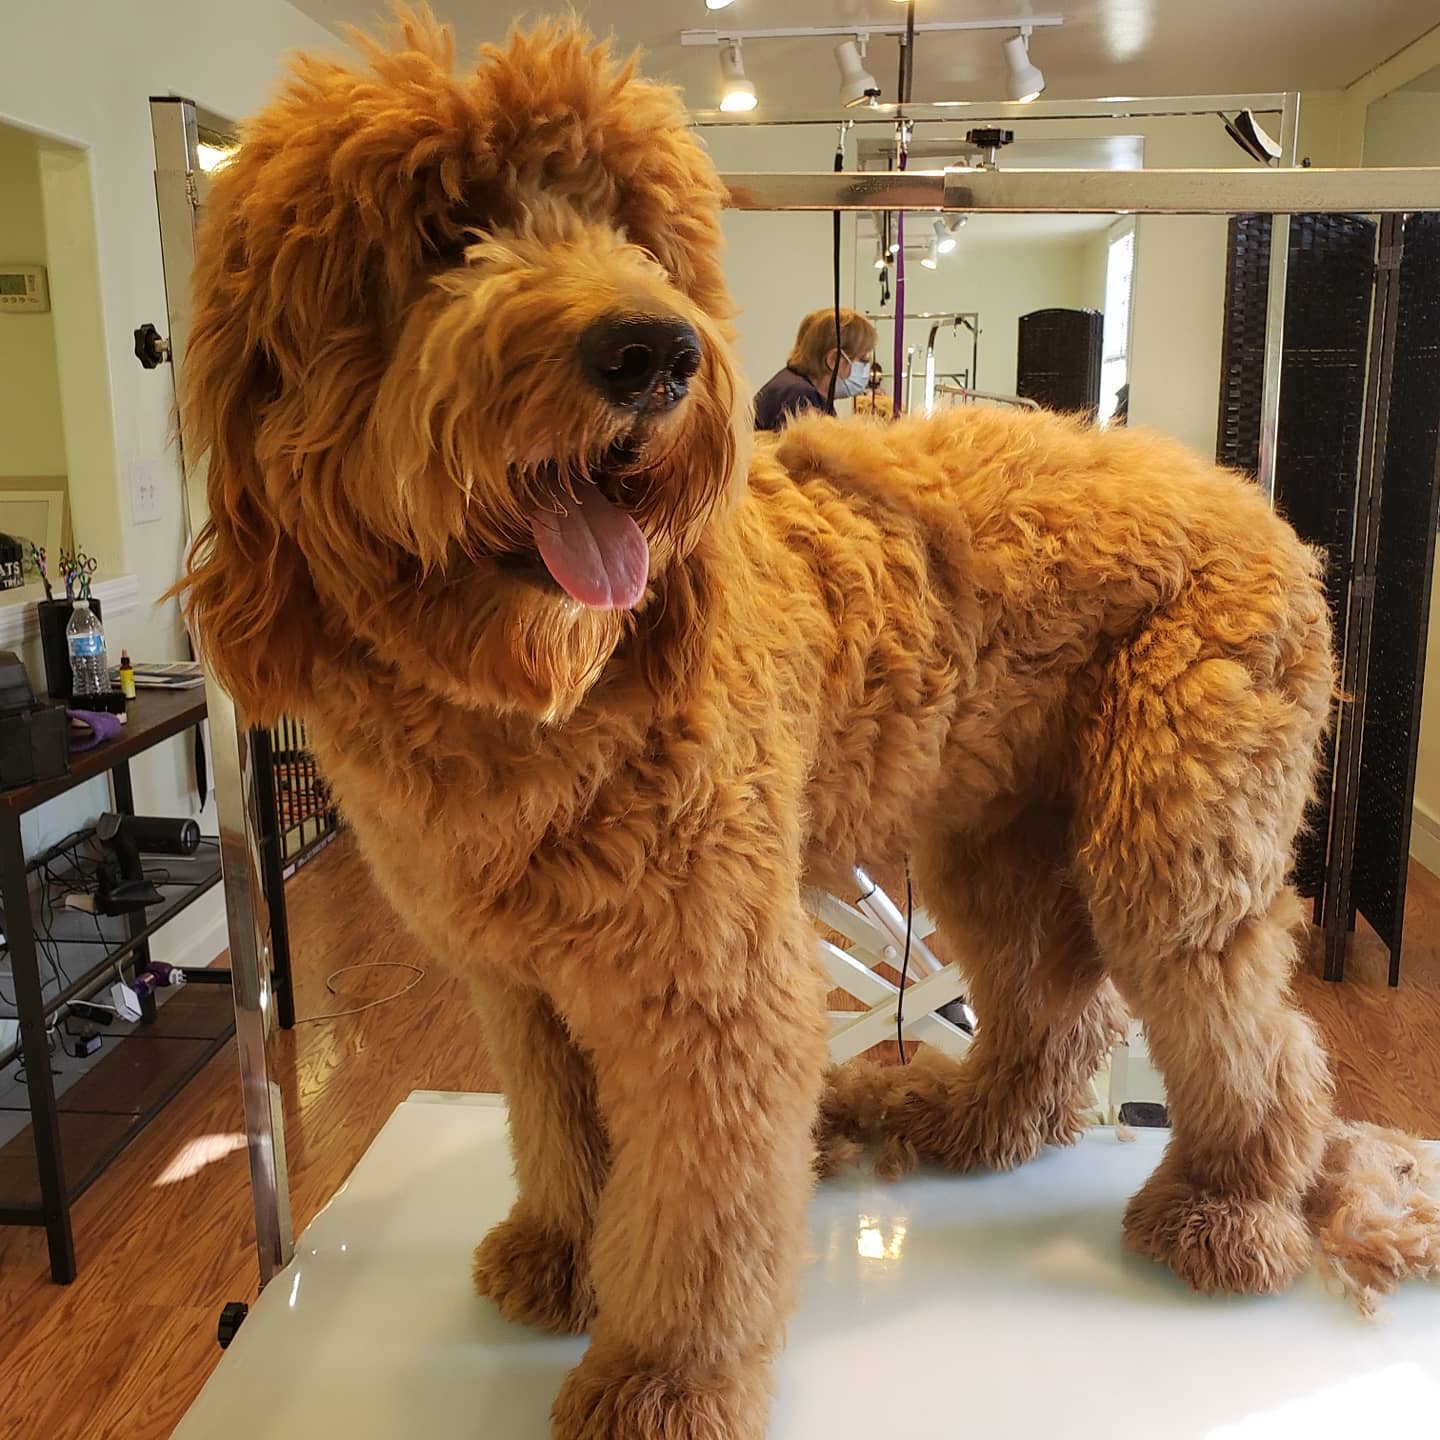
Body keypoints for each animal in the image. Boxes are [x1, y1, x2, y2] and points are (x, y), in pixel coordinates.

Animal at [179, 12, 1440, 1437]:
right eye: (449, 228)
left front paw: (663, 1375)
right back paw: (969, 1117)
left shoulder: (715, 985)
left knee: (1252, 1034)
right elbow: (563, 1131)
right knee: (1052, 1018)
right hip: (997, 840)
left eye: (633, 231)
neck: (545, 691)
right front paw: (564, 1251)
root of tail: (1257, 504)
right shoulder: (523, 981)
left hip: (1168, 843)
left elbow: (700, 1211)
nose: (655, 352)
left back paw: (1228, 1208)